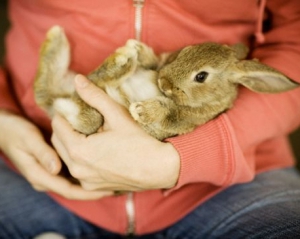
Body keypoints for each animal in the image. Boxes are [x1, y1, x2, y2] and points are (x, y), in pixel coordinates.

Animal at [34, 24, 298, 140]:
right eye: (185, 51)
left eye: (201, 76)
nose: (163, 83)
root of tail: (56, 105)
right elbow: (153, 63)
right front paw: (140, 50)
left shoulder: (185, 121)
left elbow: (167, 113)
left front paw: (142, 110)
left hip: (86, 113)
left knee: (78, 111)